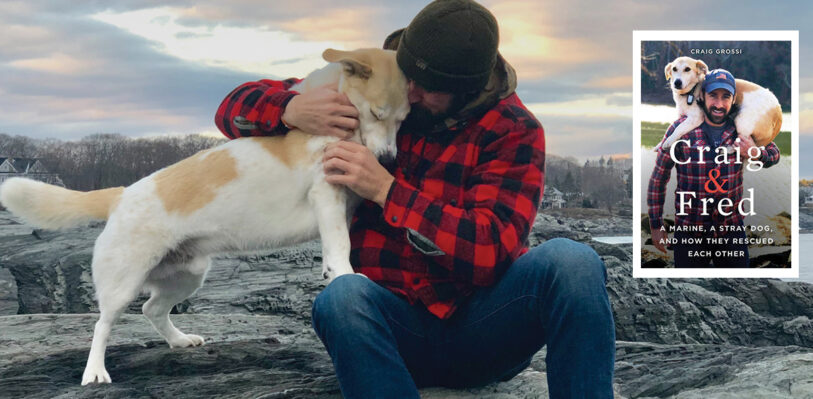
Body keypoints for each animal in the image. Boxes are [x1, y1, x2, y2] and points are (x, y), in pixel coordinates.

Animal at [0, 47, 406, 388]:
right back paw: (95, 372)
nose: (388, 160)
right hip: (122, 283)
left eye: (404, 119)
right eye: (377, 113)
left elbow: (337, 240)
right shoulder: (327, 192)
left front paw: (331, 269)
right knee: (102, 325)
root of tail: (121, 194)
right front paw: (344, 273)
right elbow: (340, 244)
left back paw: (179, 341)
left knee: (151, 308)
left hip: (187, 275)